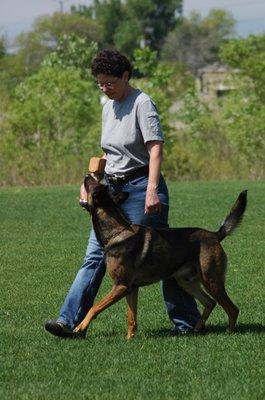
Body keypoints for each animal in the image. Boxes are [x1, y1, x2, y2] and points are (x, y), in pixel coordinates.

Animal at [73, 175, 246, 338]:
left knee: (232, 308)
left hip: (211, 280)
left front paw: (80, 327)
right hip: (185, 281)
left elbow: (94, 307)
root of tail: (215, 235)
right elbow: (131, 318)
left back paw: (229, 332)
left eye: (94, 186)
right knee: (210, 303)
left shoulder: (121, 286)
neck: (117, 232)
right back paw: (197, 328)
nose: (88, 175)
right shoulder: (130, 288)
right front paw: (129, 339)